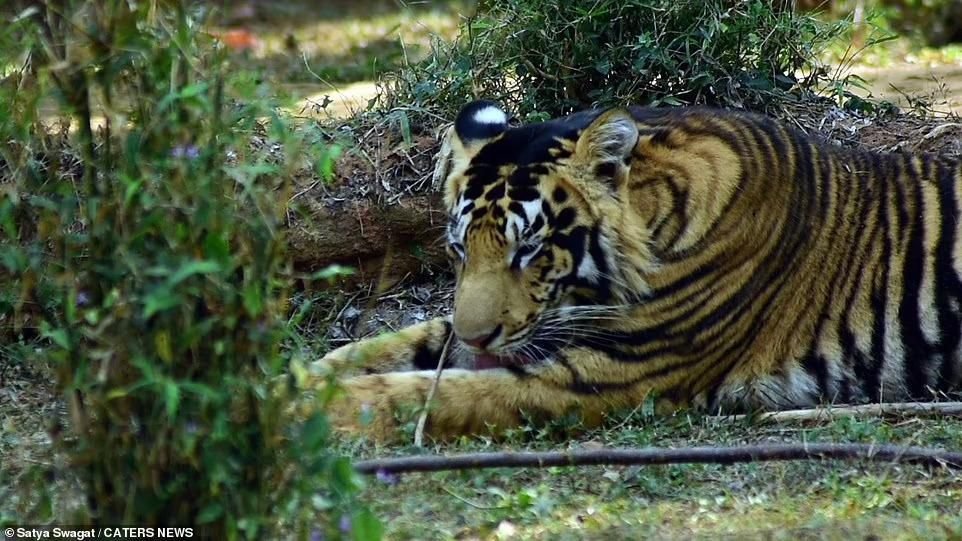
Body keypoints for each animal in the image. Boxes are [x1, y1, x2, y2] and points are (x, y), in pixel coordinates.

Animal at [308, 99, 962, 442]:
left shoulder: (607, 372)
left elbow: (425, 393)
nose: (479, 338)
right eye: (461, 250)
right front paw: (299, 379)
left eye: (529, 250)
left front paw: (295, 415)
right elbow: (380, 350)